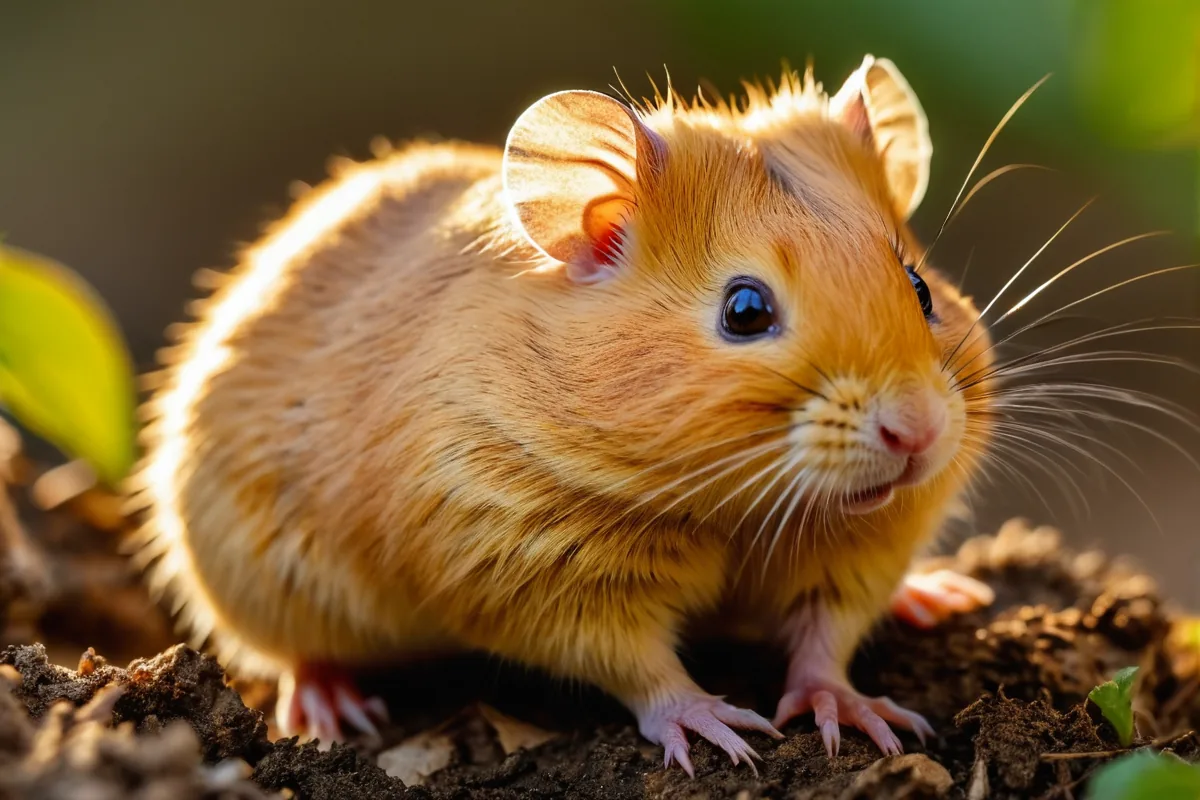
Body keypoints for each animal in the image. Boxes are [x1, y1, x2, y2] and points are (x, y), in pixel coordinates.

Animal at [133, 55, 997, 775]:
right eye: (745, 310)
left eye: (920, 288)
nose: (919, 434)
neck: (736, 505)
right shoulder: (528, 564)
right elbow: (639, 666)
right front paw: (717, 728)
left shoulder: (855, 553)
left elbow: (824, 642)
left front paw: (855, 713)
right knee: (296, 653)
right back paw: (329, 708)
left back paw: (934, 595)